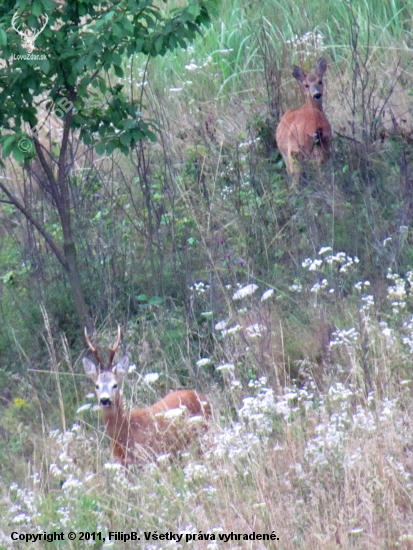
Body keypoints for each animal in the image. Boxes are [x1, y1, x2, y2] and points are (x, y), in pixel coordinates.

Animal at [276, 56, 330, 185]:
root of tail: (317, 127)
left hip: (295, 152)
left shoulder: (285, 153)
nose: (316, 94)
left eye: (320, 81)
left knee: (295, 178)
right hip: (324, 146)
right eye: (306, 85)